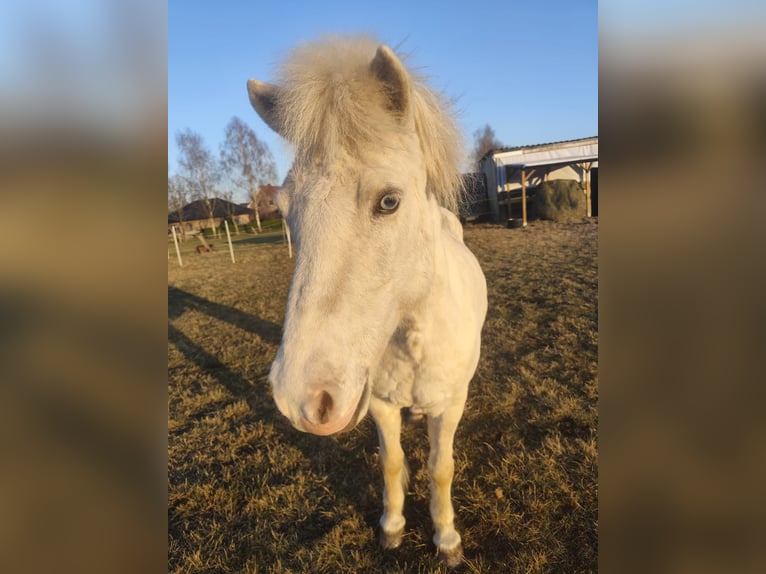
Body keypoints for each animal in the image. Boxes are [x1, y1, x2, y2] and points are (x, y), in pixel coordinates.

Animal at [247, 35, 487, 567]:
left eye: (389, 201)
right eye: (285, 208)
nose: (304, 398)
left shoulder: (451, 405)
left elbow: (441, 467)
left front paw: (447, 539)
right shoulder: (378, 403)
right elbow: (392, 462)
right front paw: (392, 527)